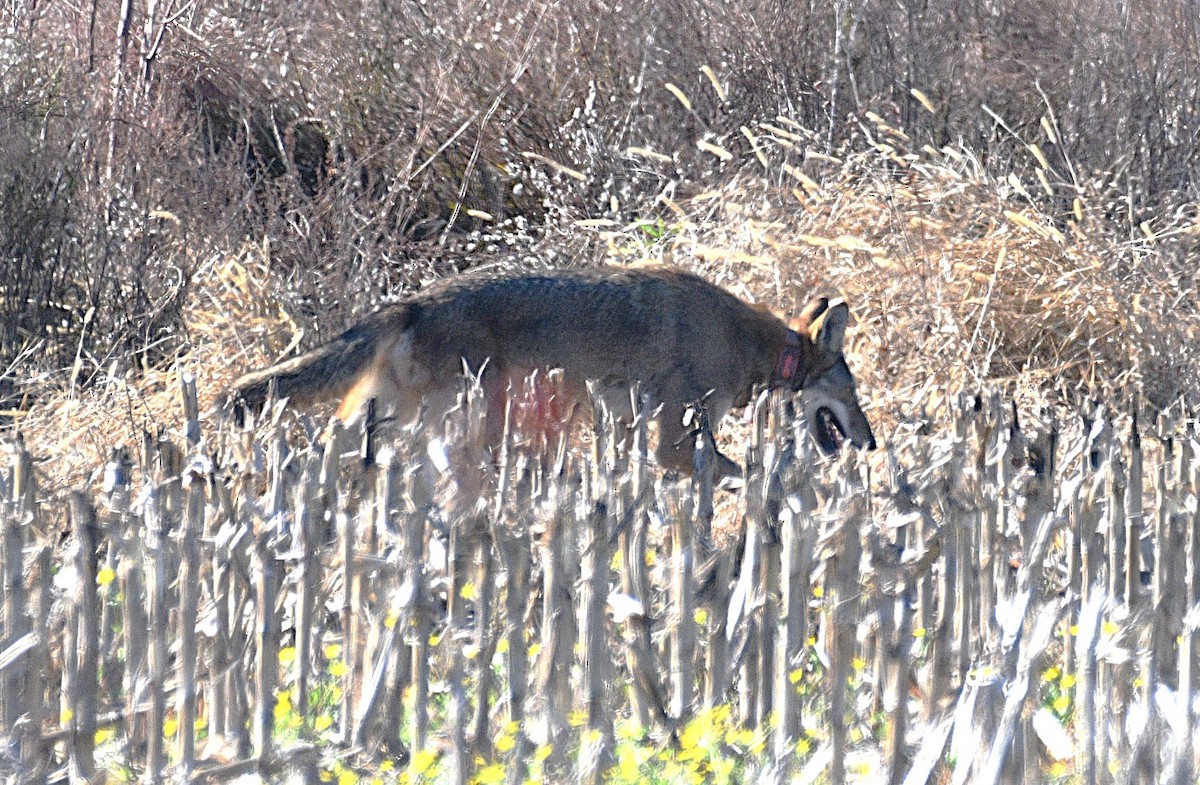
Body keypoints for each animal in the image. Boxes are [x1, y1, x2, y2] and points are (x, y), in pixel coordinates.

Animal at [222, 265, 876, 478]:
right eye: (853, 394)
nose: (871, 444)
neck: (746, 343)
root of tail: (414, 302)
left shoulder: (626, 425)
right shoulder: (671, 437)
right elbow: (738, 471)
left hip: (391, 413)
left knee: (331, 447)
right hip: (470, 418)